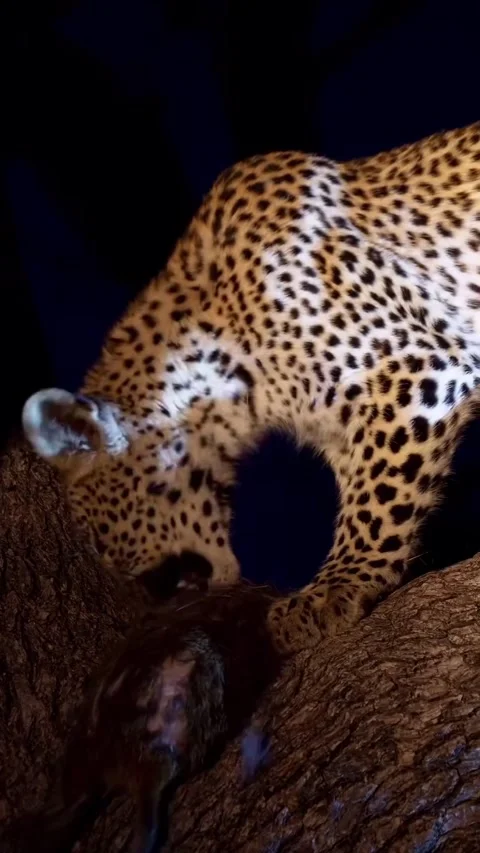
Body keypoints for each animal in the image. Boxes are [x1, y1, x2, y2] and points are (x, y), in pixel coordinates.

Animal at [22, 121, 480, 654]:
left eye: (102, 535)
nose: (160, 595)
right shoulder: (342, 429)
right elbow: (363, 491)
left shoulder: (417, 367)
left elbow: (376, 501)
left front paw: (334, 588)